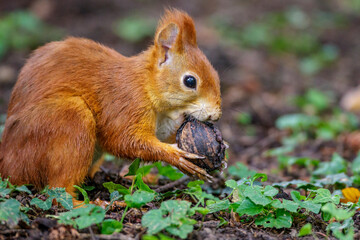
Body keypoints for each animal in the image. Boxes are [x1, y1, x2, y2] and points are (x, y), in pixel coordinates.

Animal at [0, 8, 222, 199]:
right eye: (190, 81)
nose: (215, 115)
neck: (145, 84)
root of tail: (7, 164)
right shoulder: (126, 103)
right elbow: (124, 140)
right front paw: (175, 155)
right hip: (67, 119)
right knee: (59, 190)